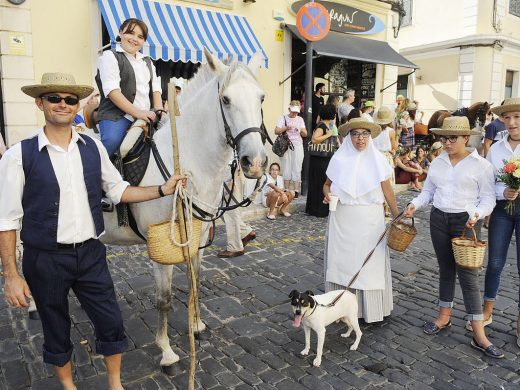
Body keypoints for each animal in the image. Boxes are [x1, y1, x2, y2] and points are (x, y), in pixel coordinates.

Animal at [100, 49, 268, 372]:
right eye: (225, 100)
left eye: (262, 97)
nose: (254, 163)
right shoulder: (162, 246)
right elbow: (164, 299)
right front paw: (166, 351)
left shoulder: (197, 239)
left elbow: (195, 281)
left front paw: (197, 326)